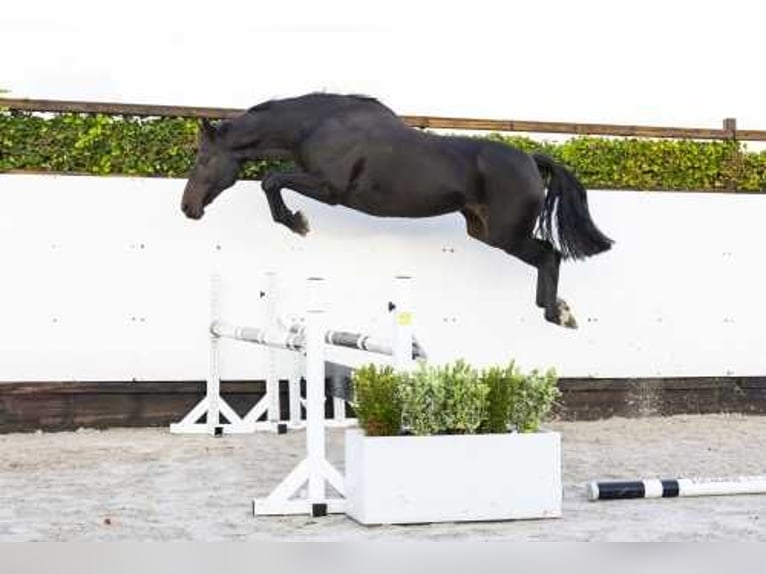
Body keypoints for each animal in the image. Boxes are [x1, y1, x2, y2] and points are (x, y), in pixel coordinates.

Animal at [183, 94, 616, 328]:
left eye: (203, 159)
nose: (188, 208)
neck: (320, 125)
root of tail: (530, 158)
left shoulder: (330, 189)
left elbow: (271, 181)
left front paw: (298, 223)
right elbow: (271, 182)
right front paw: (296, 222)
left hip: (506, 235)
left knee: (550, 254)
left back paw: (559, 314)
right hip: (483, 231)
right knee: (547, 257)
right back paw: (555, 309)